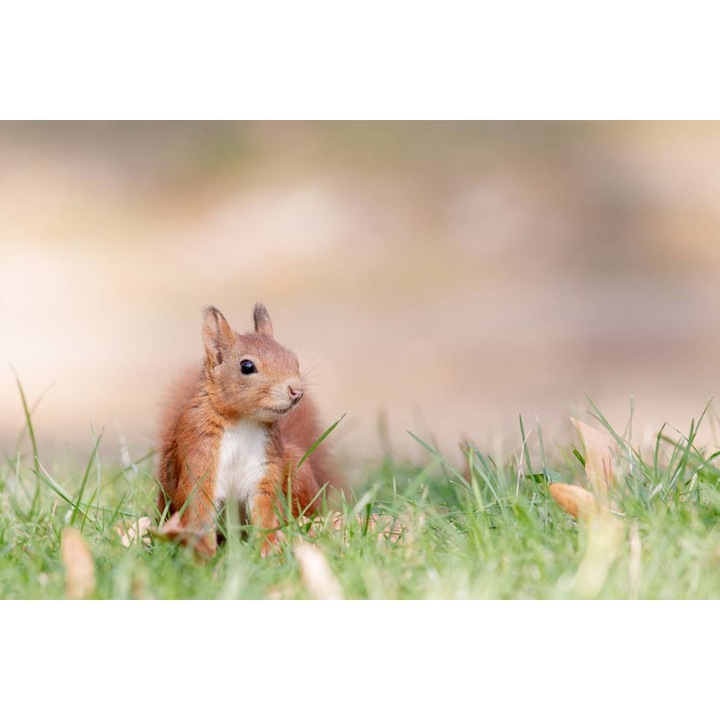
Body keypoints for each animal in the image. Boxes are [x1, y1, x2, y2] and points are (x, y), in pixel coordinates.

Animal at [156, 302, 338, 557]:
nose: (297, 390)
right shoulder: (200, 453)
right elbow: (199, 507)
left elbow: (265, 508)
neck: (244, 421)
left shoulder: (263, 467)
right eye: (247, 366)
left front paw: (268, 549)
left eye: (294, 359)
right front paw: (205, 554)